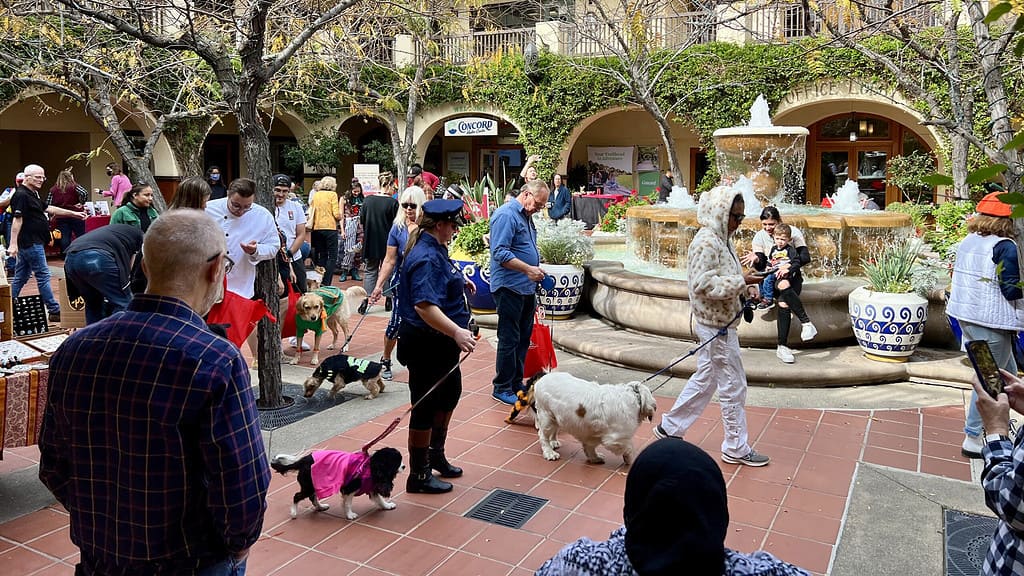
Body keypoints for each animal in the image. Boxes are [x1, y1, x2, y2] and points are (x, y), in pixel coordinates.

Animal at [272, 444, 403, 520]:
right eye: (397, 462)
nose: (404, 466)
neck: (370, 466)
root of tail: (304, 460)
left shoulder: (372, 486)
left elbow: (379, 499)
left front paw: (387, 506)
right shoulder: (349, 489)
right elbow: (348, 503)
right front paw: (350, 515)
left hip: (314, 484)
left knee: (312, 497)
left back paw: (320, 507)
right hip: (309, 486)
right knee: (297, 496)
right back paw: (294, 513)